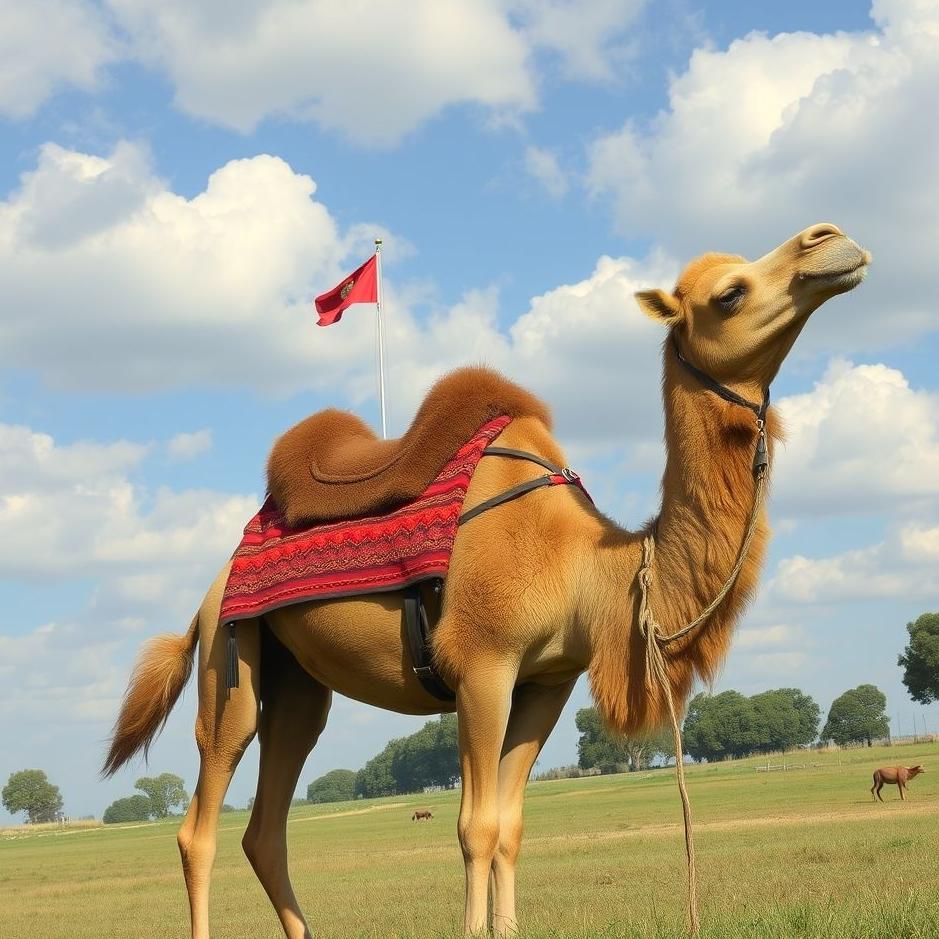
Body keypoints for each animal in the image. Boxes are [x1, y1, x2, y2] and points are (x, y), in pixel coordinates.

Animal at [104, 223, 869, 939]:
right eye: (728, 293)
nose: (831, 240)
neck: (589, 565)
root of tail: (209, 591)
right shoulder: (483, 666)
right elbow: (474, 826)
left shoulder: (546, 681)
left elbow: (510, 825)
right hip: (228, 661)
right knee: (199, 825)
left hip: (299, 687)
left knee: (267, 829)